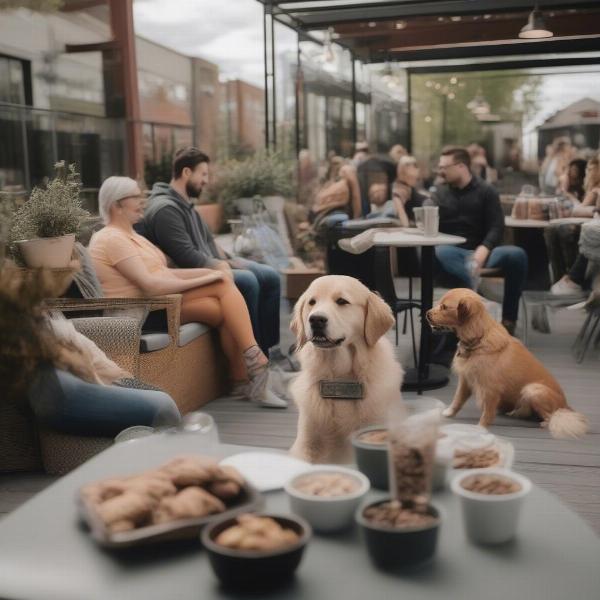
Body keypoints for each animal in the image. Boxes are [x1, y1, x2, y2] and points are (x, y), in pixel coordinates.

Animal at [428, 288, 588, 438]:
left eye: (444, 307)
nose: (427, 313)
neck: (478, 338)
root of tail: (566, 405)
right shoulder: (466, 380)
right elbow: (457, 399)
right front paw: (448, 413)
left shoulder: (491, 389)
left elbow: (487, 413)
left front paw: (480, 428)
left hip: (533, 389)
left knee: (553, 416)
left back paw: (545, 422)